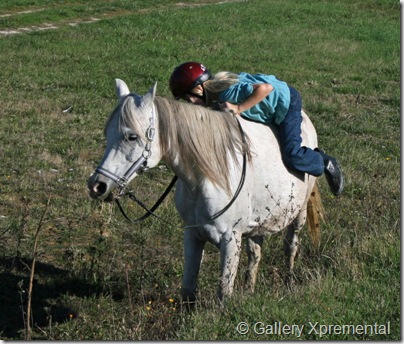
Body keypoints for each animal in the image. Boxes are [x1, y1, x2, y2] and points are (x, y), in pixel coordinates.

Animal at [87, 79, 324, 302]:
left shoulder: (230, 240)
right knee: (255, 253)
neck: (207, 179)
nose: (97, 185)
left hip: (298, 214)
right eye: (107, 133)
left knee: (290, 246)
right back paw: (250, 290)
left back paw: (289, 282)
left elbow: (224, 294)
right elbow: (188, 291)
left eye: (132, 137)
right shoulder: (192, 234)